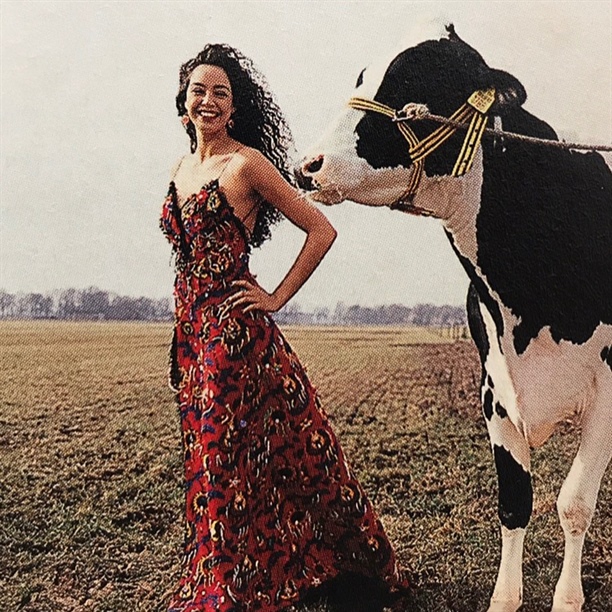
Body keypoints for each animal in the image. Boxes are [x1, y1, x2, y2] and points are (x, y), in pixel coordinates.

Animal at [295, 22, 612, 612]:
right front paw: (505, 598)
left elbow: (574, 502)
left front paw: (567, 598)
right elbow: (514, 503)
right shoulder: (495, 390)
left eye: (415, 84)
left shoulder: (610, 387)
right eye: (363, 76)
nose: (309, 166)